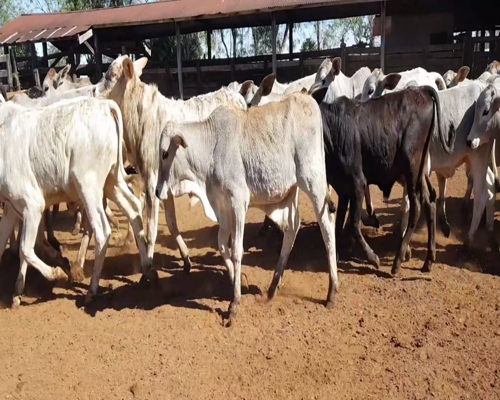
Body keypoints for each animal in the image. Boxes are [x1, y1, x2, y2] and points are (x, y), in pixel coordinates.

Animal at [0, 97, 152, 306]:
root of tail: (104, 105)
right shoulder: (11, 209)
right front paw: (17, 292)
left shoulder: (32, 205)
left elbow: (26, 249)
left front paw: (58, 272)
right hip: (111, 181)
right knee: (134, 209)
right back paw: (145, 269)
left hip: (88, 186)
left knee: (102, 230)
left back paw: (92, 290)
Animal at [154, 91, 338, 322]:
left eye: (165, 153)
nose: (157, 191)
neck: (211, 146)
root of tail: (307, 99)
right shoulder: (222, 208)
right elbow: (222, 245)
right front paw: (236, 281)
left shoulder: (238, 201)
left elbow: (236, 250)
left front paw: (234, 305)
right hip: (292, 189)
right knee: (292, 228)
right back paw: (273, 287)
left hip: (313, 180)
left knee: (326, 224)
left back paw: (331, 292)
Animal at [314, 86, 456, 276]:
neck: (333, 130)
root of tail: (420, 90)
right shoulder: (343, 189)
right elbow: (338, 223)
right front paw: (335, 256)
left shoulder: (358, 184)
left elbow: (353, 224)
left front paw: (372, 258)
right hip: (420, 170)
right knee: (429, 203)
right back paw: (428, 261)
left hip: (411, 165)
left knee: (416, 207)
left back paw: (398, 260)